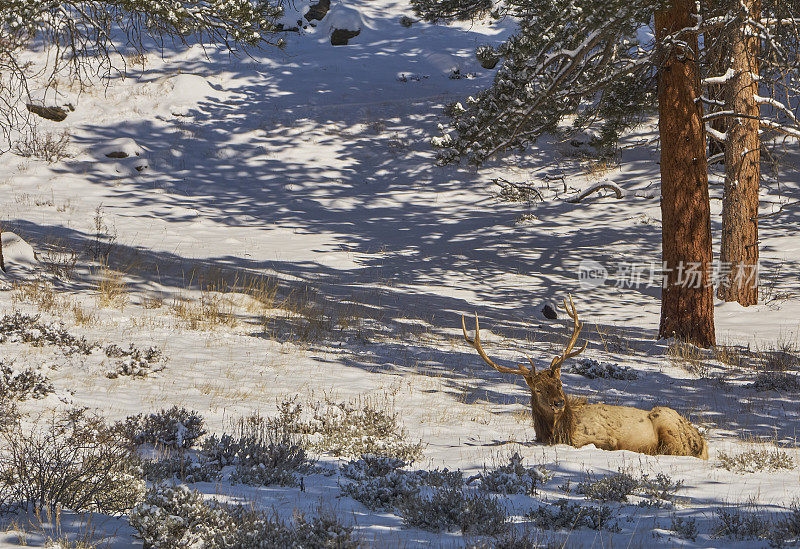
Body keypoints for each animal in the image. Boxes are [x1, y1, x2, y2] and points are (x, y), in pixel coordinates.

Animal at [460, 296, 708, 458]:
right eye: (537, 389)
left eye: (559, 383)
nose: (558, 402)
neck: (560, 430)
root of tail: (702, 441)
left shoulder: (602, 438)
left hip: (667, 423)